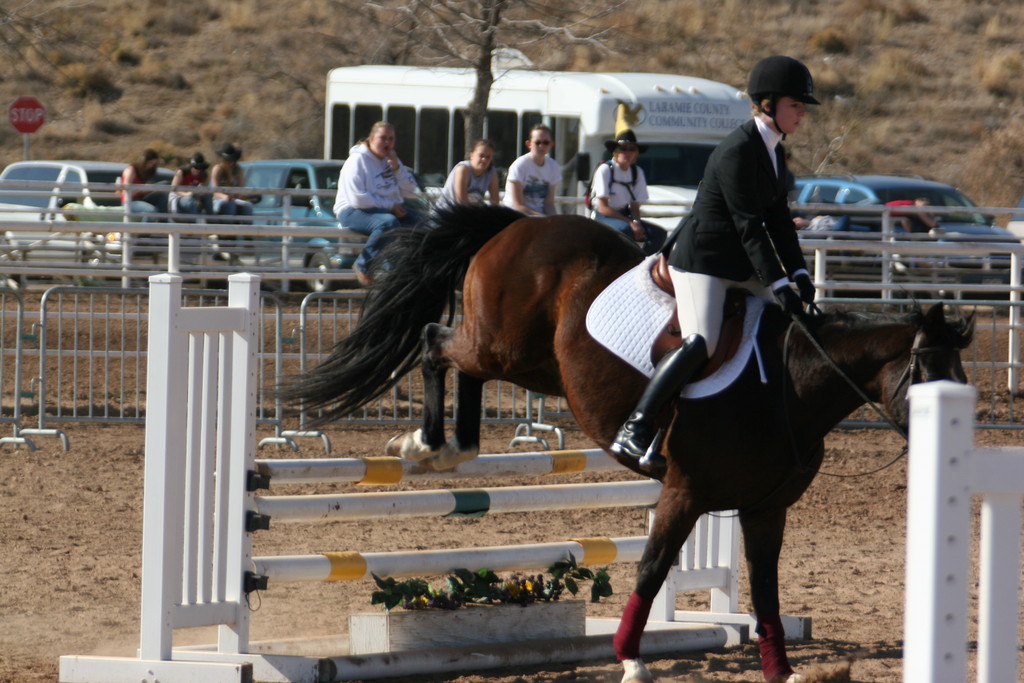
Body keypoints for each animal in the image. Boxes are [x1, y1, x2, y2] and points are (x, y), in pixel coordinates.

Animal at [282, 205, 974, 683]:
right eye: (931, 377)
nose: (957, 454)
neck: (788, 387)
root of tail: (519, 224)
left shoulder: (764, 508)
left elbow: (766, 587)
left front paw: (781, 669)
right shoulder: (686, 492)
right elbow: (651, 567)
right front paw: (631, 661)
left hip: (536, 366)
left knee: (460, 363)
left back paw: (453, 448)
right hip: (502, 344)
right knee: (435, 342)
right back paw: (426, 445)